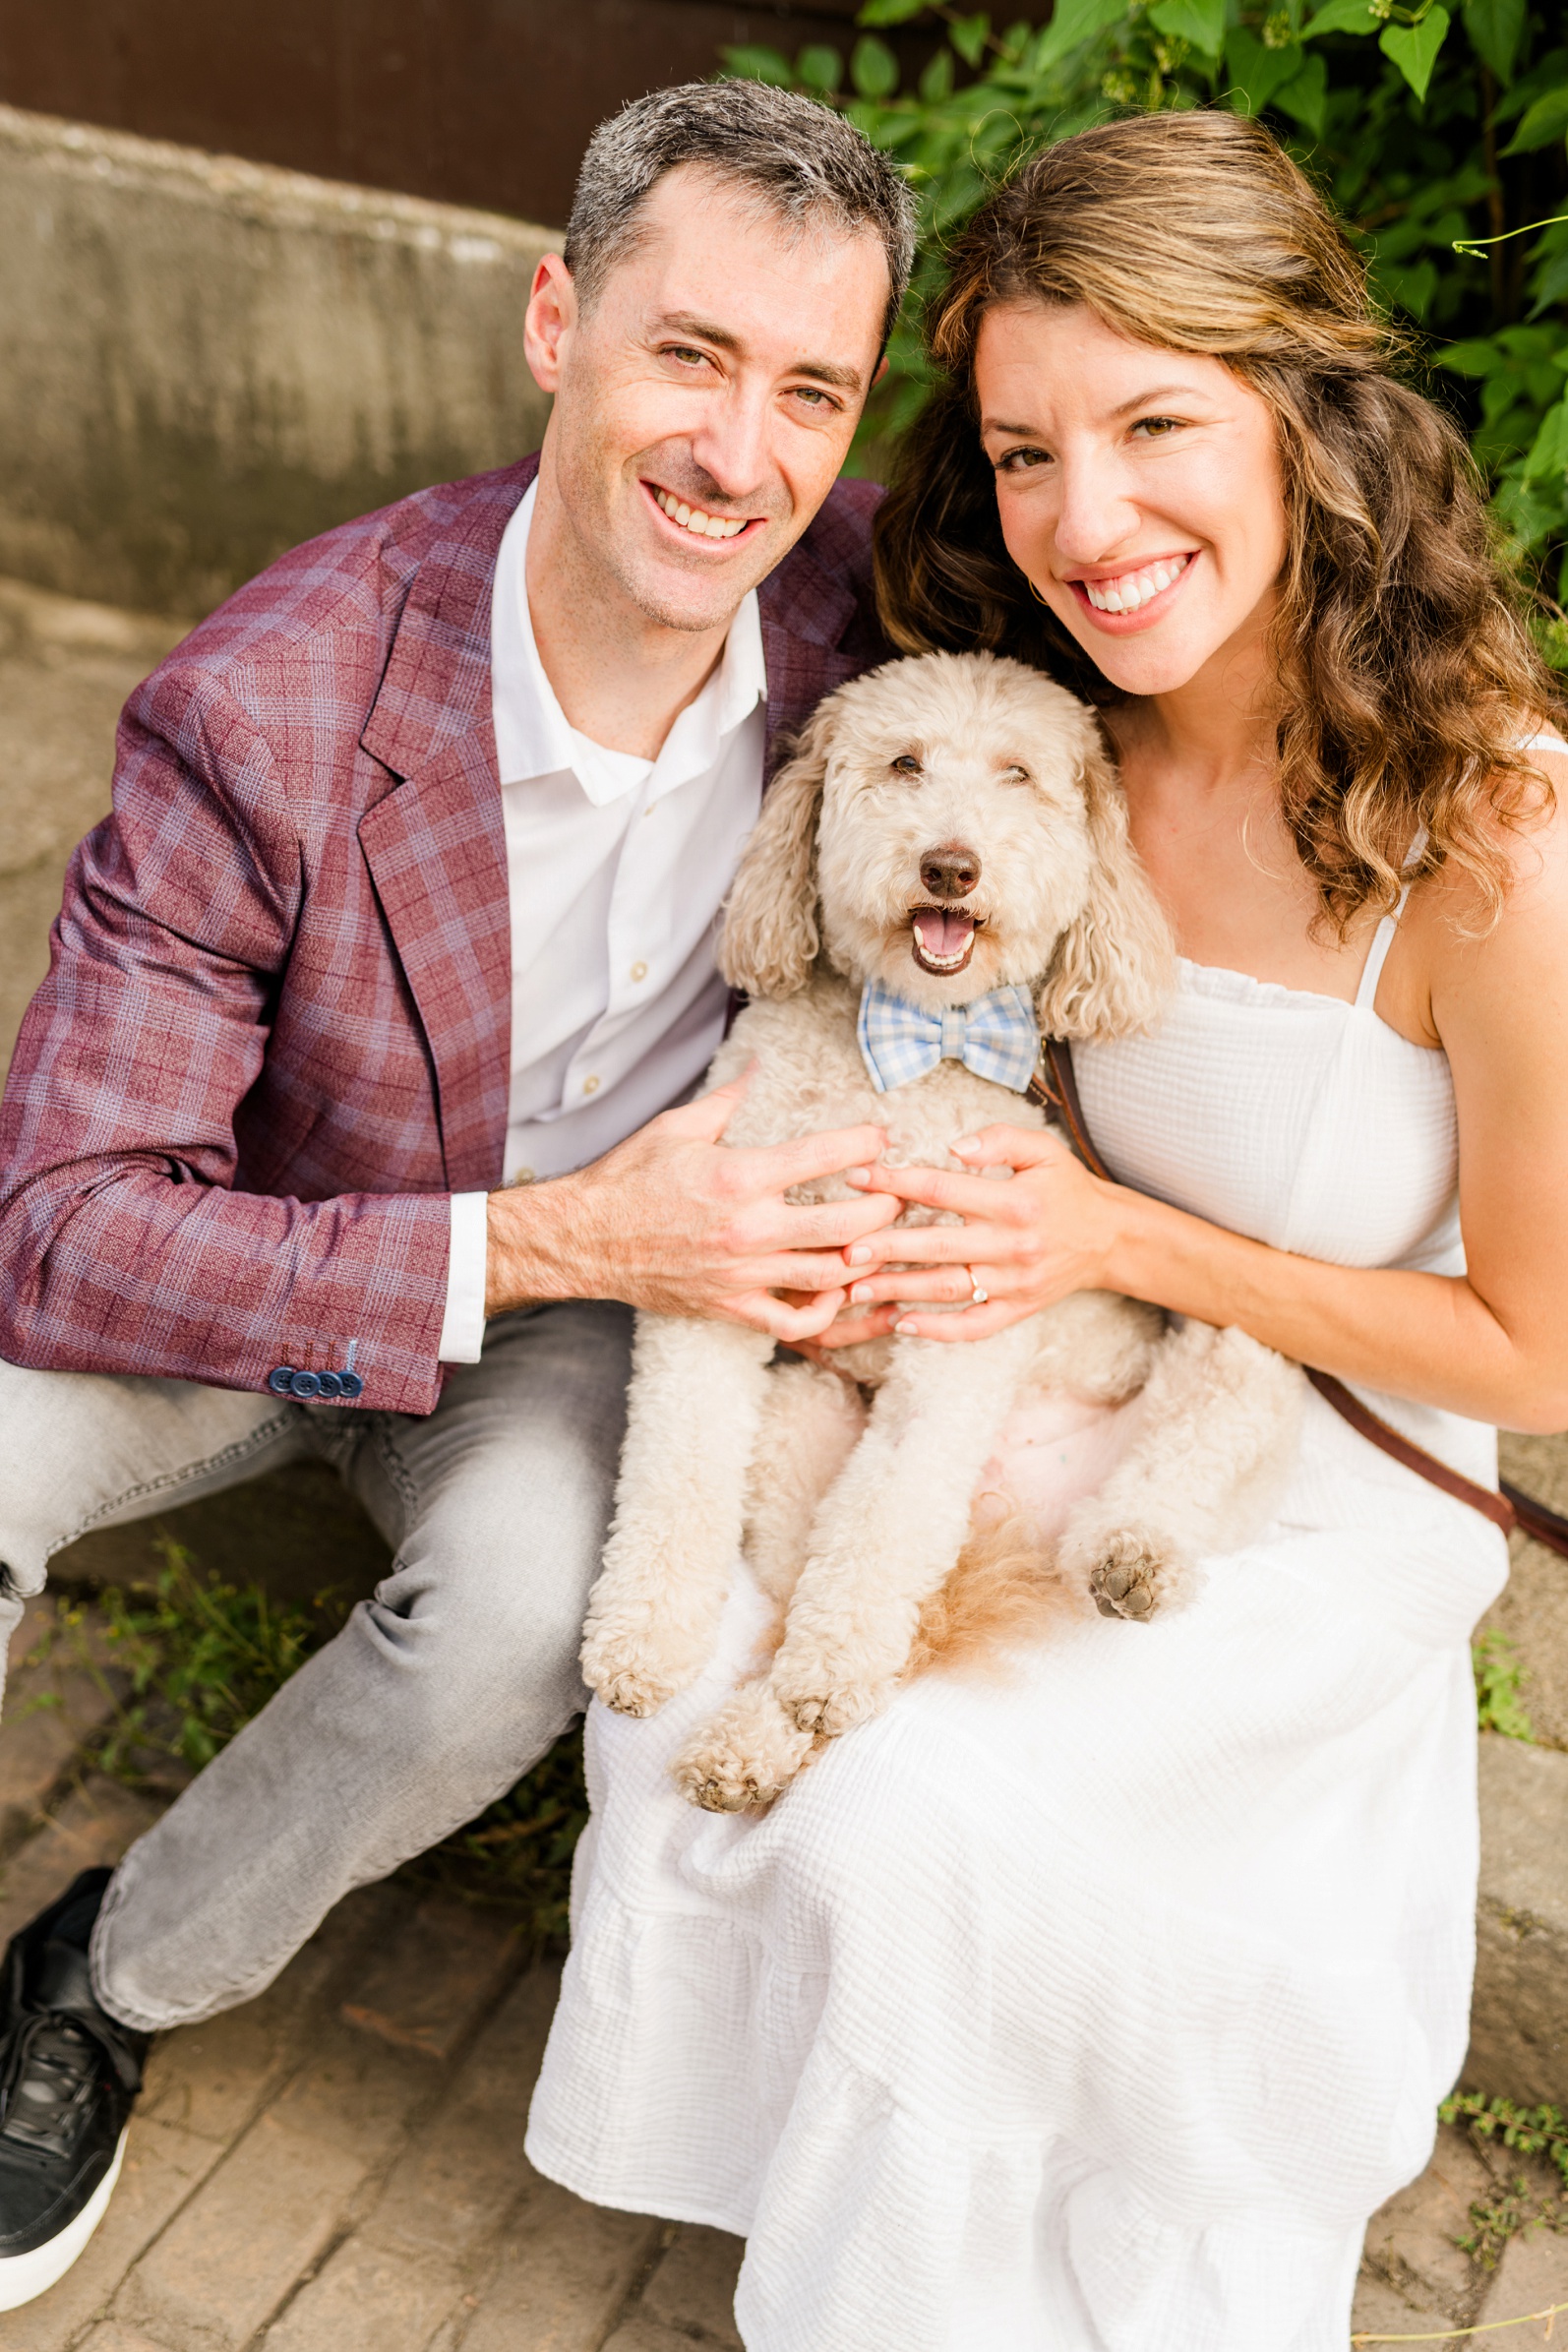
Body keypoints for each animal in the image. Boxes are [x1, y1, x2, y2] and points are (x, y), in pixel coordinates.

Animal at [580, 651, 1303, 1811]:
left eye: (1019, 776)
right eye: (902, 764)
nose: (950, 868)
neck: (903, 1049)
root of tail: (1020, 1510)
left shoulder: (961, 1320)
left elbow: (889, 1515)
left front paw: (820, 1665)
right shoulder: (717, 1270)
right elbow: (676, 1464)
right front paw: (643, 1641)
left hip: (1220, 1357)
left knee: (1190, 1442)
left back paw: (1128, 1556)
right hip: (801, 1422)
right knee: (875, 1615)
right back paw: (747, 1745)